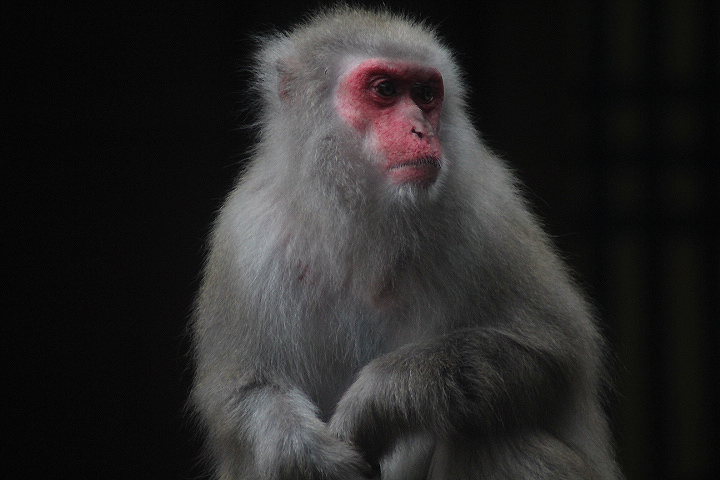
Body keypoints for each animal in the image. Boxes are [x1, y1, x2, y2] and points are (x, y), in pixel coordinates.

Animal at [190, 7, 621, 480]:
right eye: (384, 90)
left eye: (425, 94)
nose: (420, 130)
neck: (361, 214)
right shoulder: (247, 234)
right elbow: (245, 390)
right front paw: (305, 453)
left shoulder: (487, 206)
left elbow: (550, 353)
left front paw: (376, 401)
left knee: (493, 439)